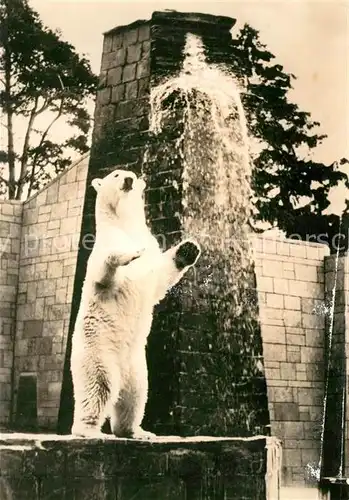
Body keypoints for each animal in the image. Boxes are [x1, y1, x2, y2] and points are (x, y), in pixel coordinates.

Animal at [70, 168, 200, 438]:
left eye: (131, 174)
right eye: (116, 174)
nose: (129, 179)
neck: (126, 225)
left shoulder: (152, 252)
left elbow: (160, 278)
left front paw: (188, 250)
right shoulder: (101, 249)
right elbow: (103, 273)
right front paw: (128, 254)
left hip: (137, 366)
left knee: (135, 396)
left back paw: (135, 431)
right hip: (97, 351)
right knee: (99, 386)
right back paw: (88, 430)